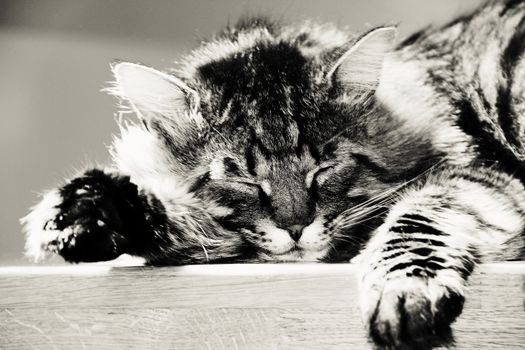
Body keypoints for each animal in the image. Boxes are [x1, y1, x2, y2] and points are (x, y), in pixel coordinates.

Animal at [21, 0, 524, 348]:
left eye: (324, 166)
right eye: (241, 177)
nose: (296, 227)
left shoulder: (484, 180)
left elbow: (414, 222)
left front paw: (405, 294)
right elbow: (184, 223)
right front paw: (83, 215)